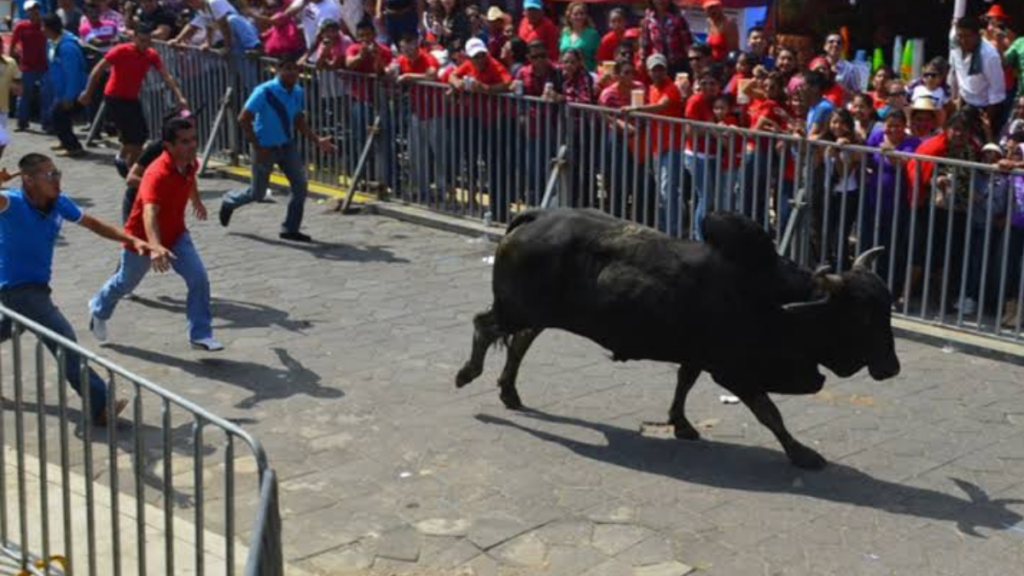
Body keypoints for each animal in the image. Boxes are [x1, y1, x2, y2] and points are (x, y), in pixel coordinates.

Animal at [452, 208, 901, 469]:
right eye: (862, 316)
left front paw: (680, 423)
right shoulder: (735, 372)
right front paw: (801, 453)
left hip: (539, 313)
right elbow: (770, 413)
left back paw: (509, 391)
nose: (892, 367)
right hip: (516, 308)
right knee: (484, 325)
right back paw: (468, 374)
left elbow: (684, 383)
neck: (779, 302)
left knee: (520, 340)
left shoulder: (699, 355)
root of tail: (534, 216)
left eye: (887, 306)